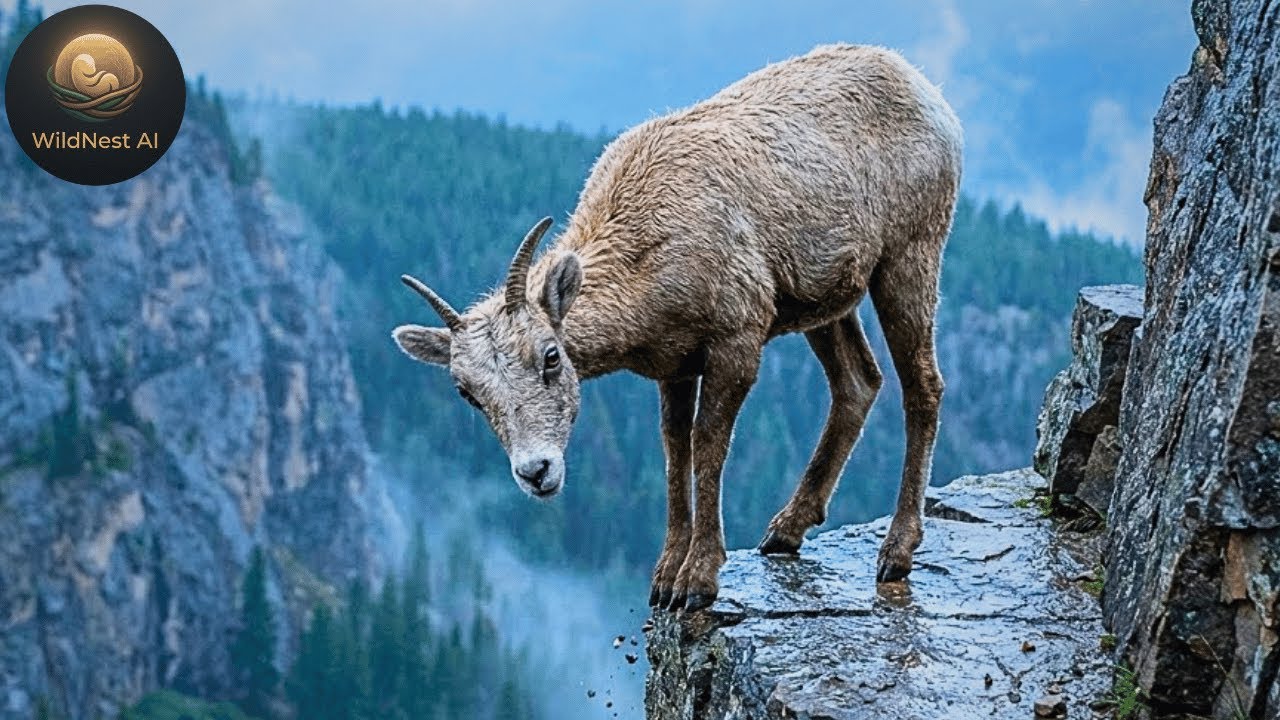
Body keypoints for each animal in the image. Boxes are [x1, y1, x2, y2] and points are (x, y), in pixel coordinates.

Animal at [393, 43, 963, 612]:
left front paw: (697, 582)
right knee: (858, 383)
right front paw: (665, 577)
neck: (648, 246)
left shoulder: (735, 342)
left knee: (922, 386)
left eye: (551, 356)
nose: (537, 472)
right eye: (467, 392)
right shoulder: (676, 365)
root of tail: (925, 91)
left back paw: (896, 552)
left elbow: (708, 445)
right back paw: (785, 531)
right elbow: (675, 448)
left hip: (909, 257)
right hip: (827, 303)